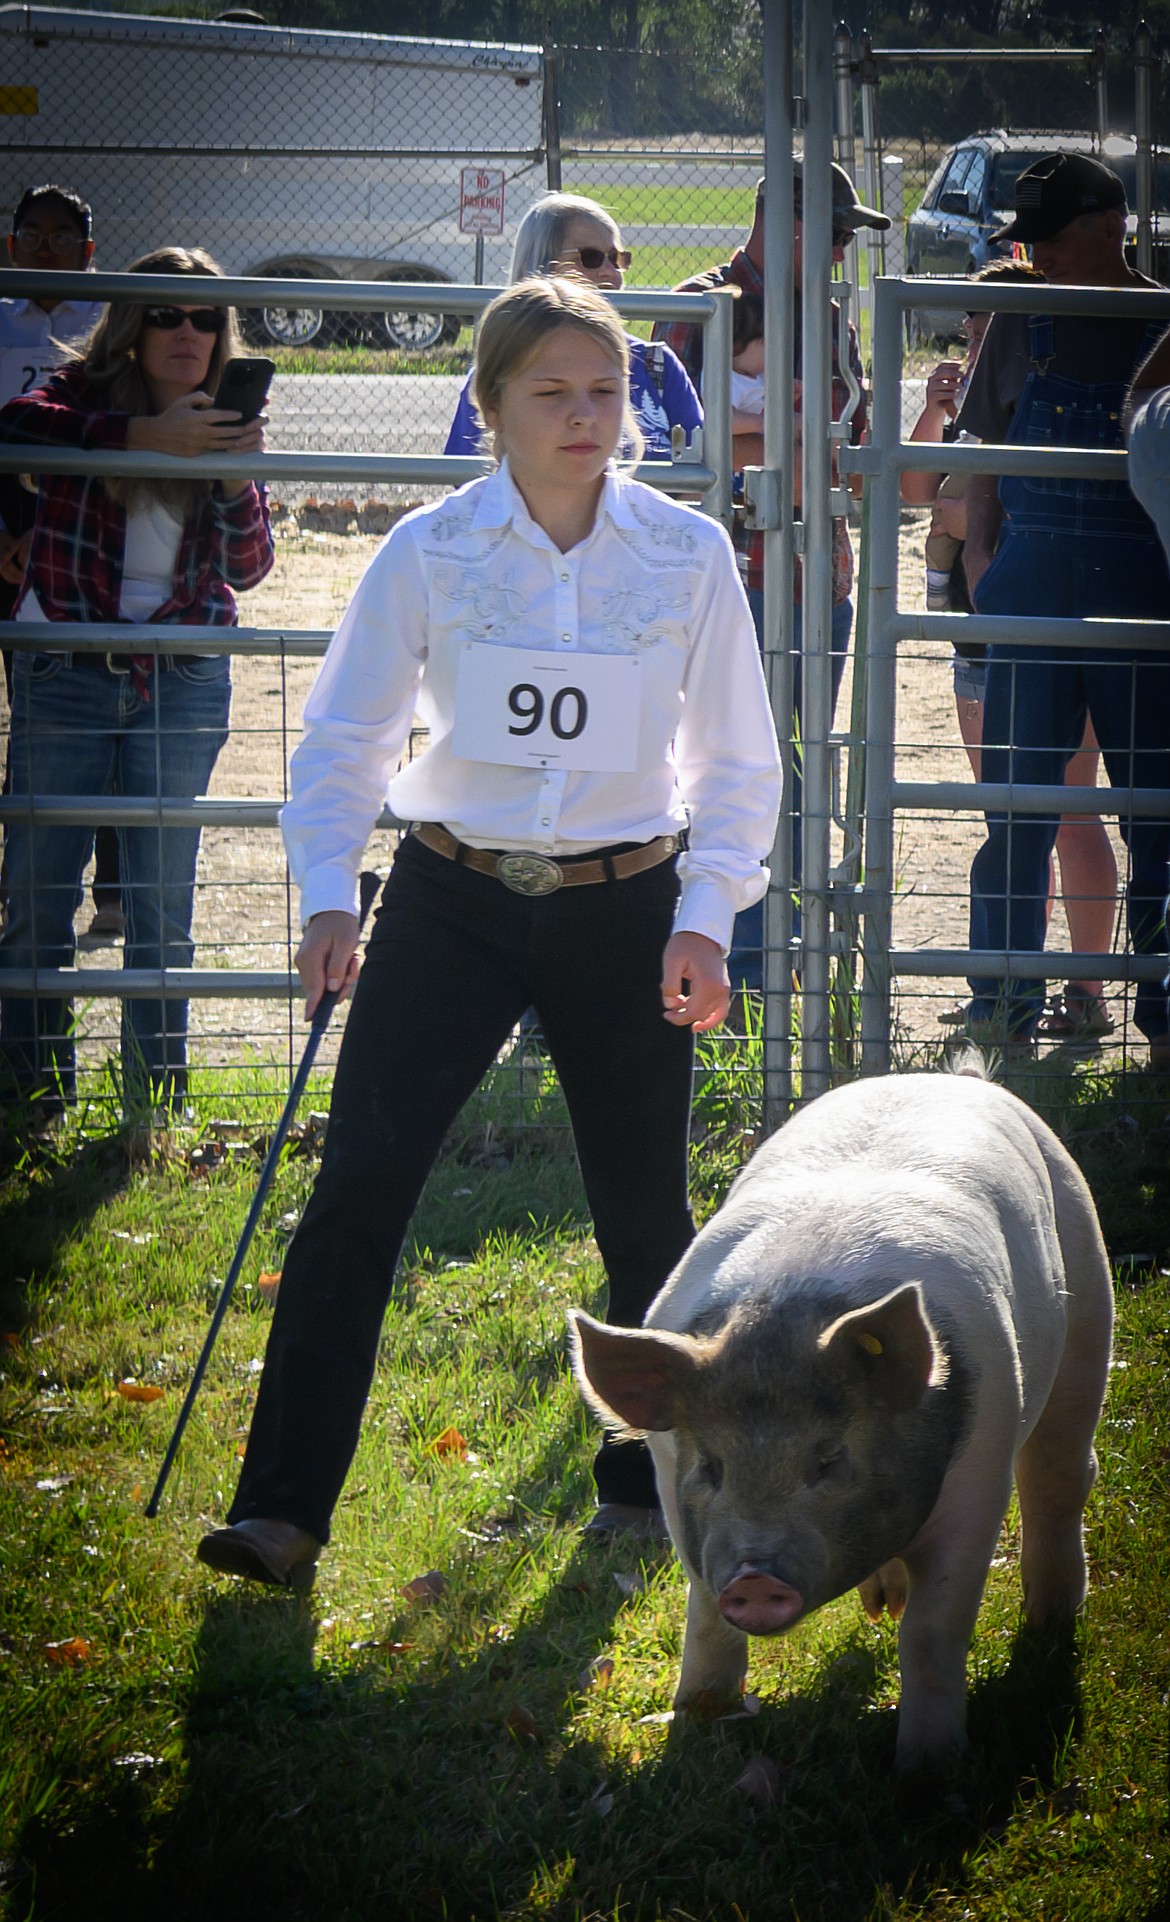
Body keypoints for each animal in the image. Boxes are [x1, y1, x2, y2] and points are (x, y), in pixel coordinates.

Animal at [568, 1068, 1114, 1768]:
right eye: (712, 1466)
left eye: (828, 1459)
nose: (754, 1578)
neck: (781, 1311)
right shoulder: (675, 1494)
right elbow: (706, 1617)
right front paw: (696, 1724)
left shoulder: (980, 1481)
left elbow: (931, 1634)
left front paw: (927, 1772)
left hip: (1088, 1290)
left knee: (1060, 1475)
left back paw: (1052, 1621)